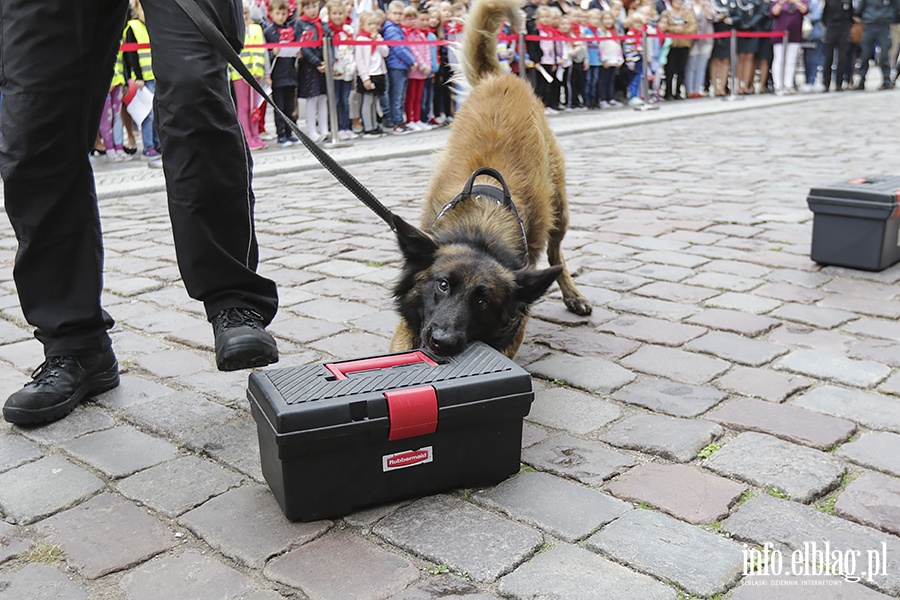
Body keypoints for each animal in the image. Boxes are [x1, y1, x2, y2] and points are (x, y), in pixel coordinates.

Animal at [388, 0, 592, 360]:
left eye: (483, 302)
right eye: (442, 285)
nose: (441, 342)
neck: (480, 231)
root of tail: (499, 77)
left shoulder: (514, 326)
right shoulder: (409, 325)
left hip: (559, 212)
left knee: (556, 254)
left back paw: (572, 294)